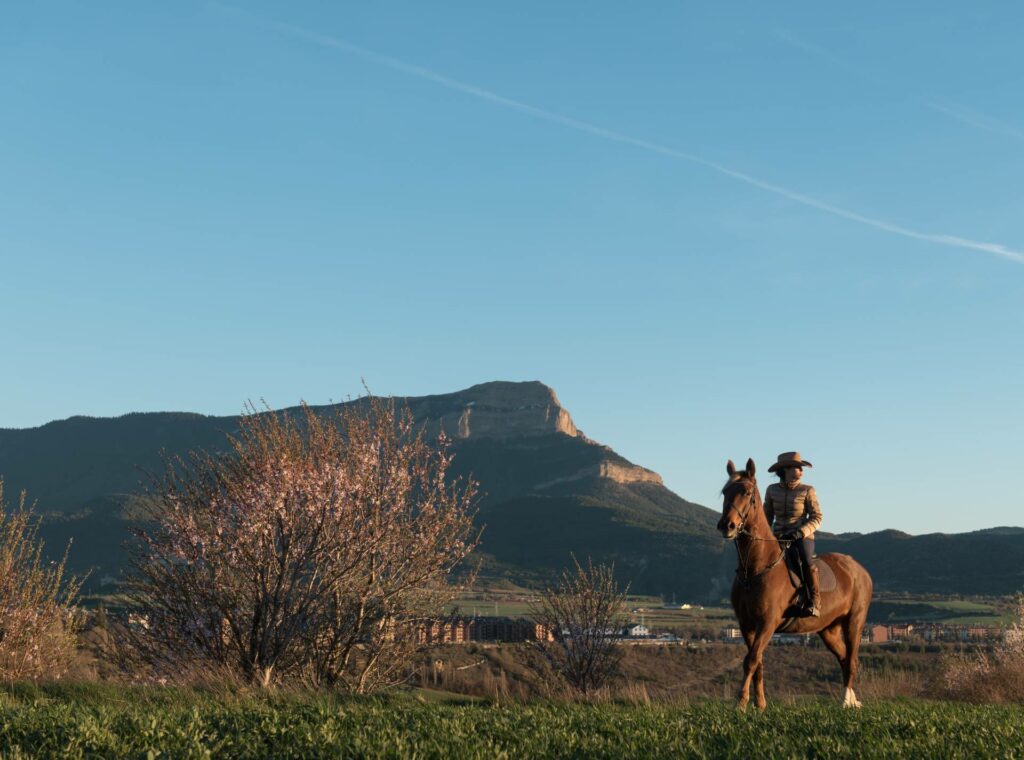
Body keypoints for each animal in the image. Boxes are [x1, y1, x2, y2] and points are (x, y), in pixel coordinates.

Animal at [716, 458, 876, 712]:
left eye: (747, 492)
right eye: (725, 492)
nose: (727, 526)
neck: (755, 569)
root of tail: (859, 569)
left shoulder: (767, 622)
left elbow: (751, 660)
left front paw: (741, 703)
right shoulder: (746, 625)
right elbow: (757, 662)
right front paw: (760, 704)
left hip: (854, 622)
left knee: (851, 660)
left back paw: (845, 700)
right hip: (828, 629)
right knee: (843, 658)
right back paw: (851, 701)